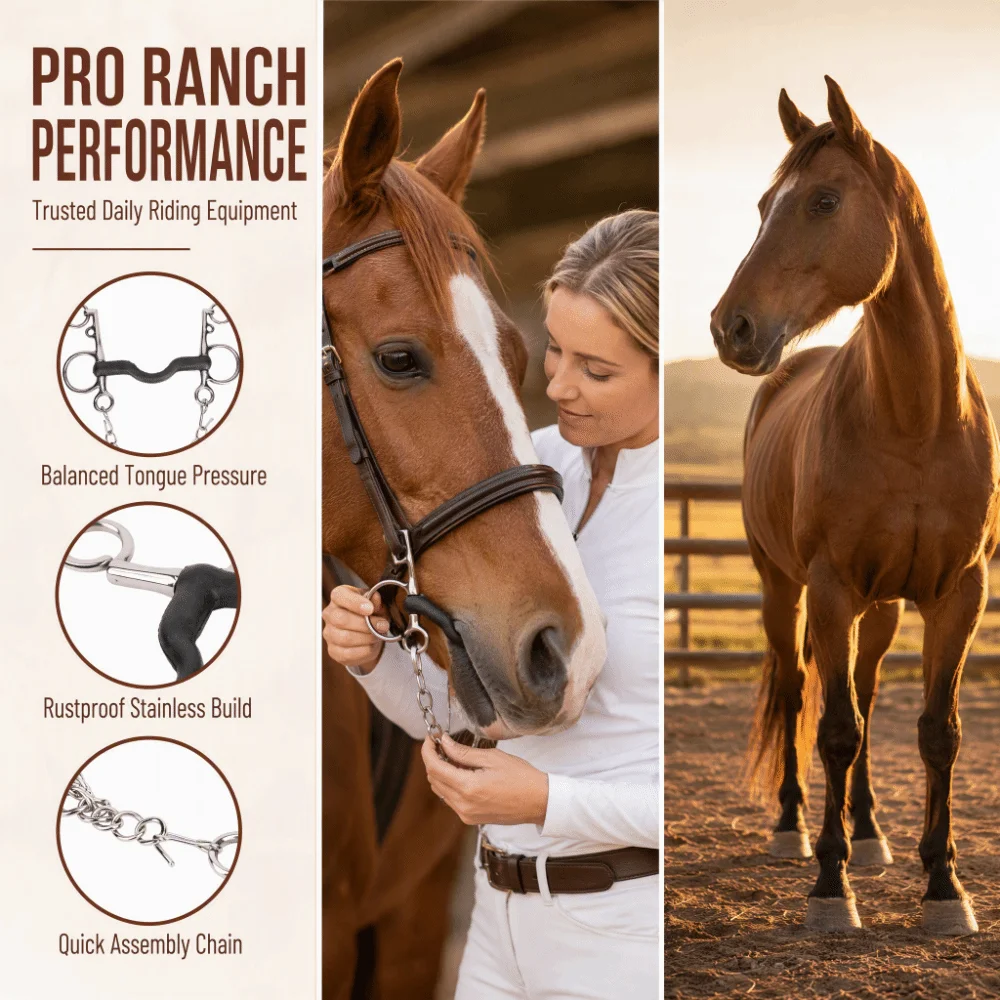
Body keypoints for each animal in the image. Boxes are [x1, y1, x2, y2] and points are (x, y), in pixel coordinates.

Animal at [709, 76, 1000, 935]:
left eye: (825, 200)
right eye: (763, 202)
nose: (731, 327)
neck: (917, 419)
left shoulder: (959, 594)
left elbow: (938, 734)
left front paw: (944, 887)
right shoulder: (831, 587)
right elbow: (834, 730)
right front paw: (830, 888)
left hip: (884, 607)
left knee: (866, 695)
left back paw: (870, 834)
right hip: (784, 589)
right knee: (798, 689)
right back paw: (796, 828)